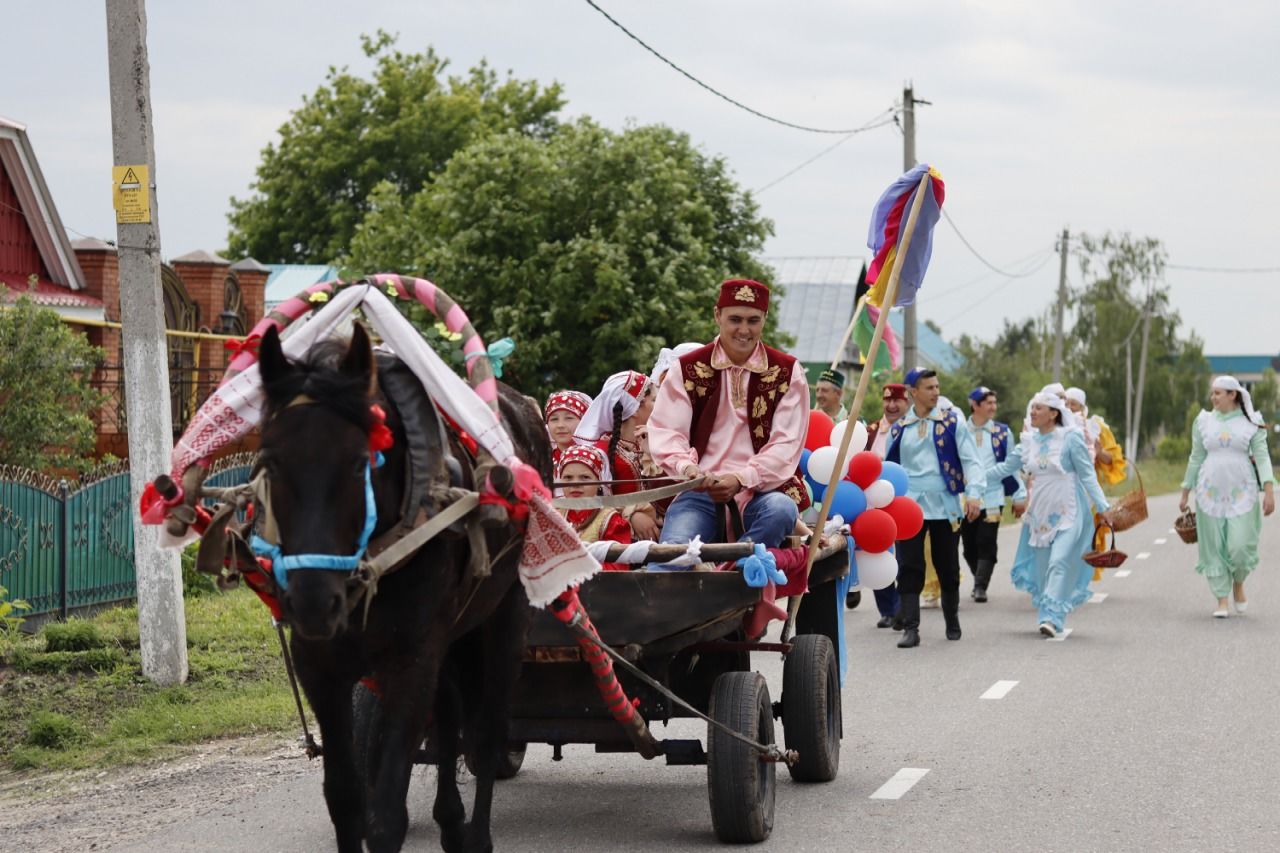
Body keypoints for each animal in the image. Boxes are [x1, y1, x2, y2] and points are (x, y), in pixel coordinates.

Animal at [254, 320, 550, 850]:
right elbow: (345, 800)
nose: (313, 601)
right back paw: (451, 820)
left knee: (488, 732)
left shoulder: (411, 660)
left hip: (504, 619)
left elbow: (387, 814)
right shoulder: (319, 666)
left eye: (360, 462)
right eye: (270, 459)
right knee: (450, 715)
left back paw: (476, 834)